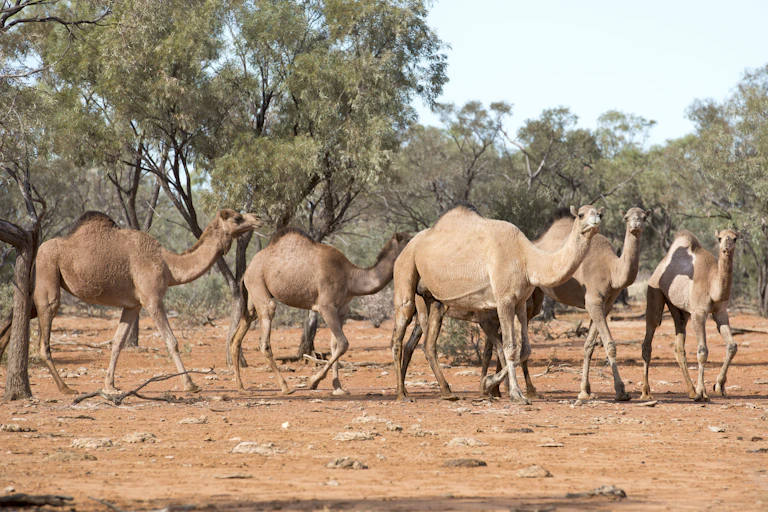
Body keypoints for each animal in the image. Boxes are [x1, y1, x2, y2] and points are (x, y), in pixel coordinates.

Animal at [0, 209, 263, 395]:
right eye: (237, 217)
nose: (259, 218)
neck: (168, 264)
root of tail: (37, 250)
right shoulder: (152, 298)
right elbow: (171, 341)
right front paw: (190, 384)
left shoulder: (133, 305)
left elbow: (117, 342)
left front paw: (110, 385)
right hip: (48, 275)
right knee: (44, 336)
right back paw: (65, 387)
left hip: (37, 286)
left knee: (14, 319)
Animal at [230, 229, 412, 395]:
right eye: (408, 239)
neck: (349, 277)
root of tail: (247, 270)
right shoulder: (326, 307)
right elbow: (344, 343)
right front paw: (313, 381)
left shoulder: (342, 310)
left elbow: (335, 344)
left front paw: (338, 388)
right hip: (258, 284)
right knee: (265, 339)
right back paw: (285, 387)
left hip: (252, 300)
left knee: (237, 336)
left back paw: (241, 388)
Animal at [390, 202, 603, 404]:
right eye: (581, 214)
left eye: (599, 212)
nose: (596, 220)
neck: (526, 259)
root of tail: (407, 247)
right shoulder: (503, 300)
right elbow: (509, 348)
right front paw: (516, 394)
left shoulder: (520, 303)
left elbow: (525, 350)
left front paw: (488, 384)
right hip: (405, 270)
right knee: (399, 334)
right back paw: (402, 394)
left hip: (434, 300)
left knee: (428, 344)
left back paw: (446, 392)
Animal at [641, 228, 740, 402]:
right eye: (719, 238)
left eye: (735, 238)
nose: (727, 245)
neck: (712, 284)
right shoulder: (698, 312)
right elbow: (702, 351)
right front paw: (702, 393)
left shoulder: (720, 312)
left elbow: (732, 346)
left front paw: (719, 386)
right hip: (655, 293)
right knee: (649, 335)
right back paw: (646, 392)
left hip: (680, 310)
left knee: (679, 347)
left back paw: (691, 390)